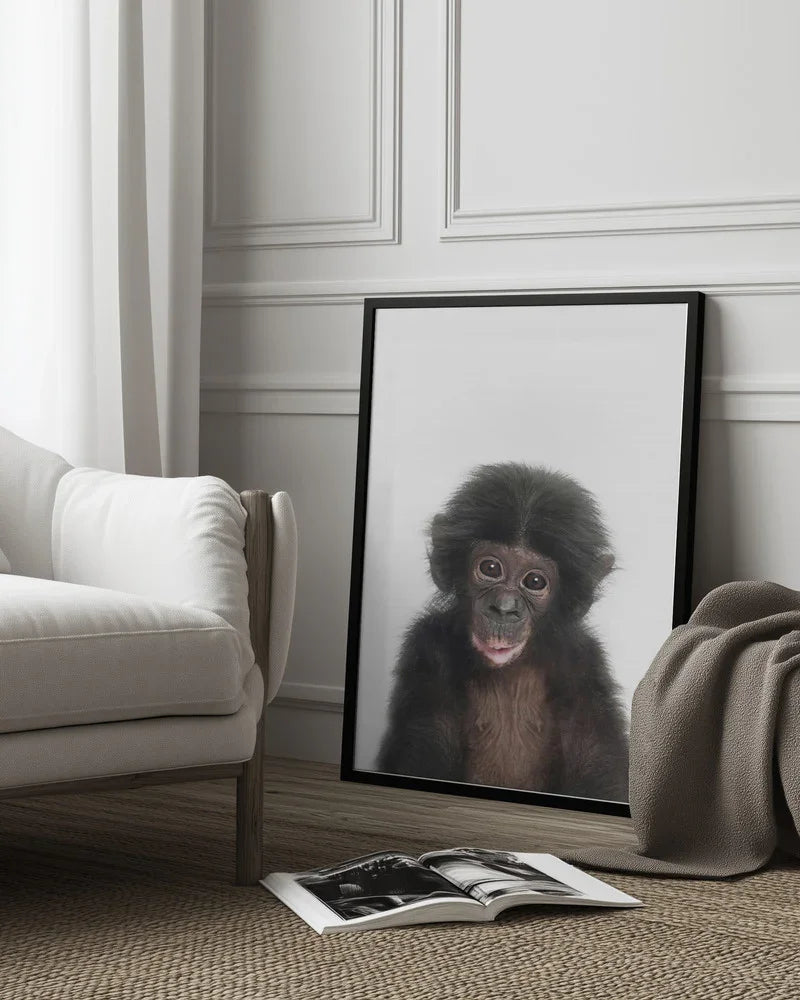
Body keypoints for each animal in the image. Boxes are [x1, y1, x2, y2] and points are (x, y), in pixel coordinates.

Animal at [376, 462, 629, 802]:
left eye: (535, 582)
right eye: (491, 568)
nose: (505, 608)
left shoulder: (586, 667)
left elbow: (600, 773)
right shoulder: (428, 652)